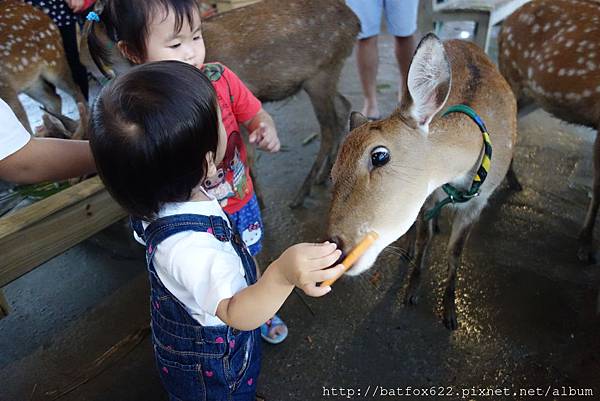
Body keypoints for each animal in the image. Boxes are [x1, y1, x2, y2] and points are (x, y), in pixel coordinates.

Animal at [81, 0, 358, 206]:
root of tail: (355, 23)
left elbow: (248, 155)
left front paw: (257, 202)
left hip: (320, 74)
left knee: (329, 127)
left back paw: (302, 193)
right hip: (329, 72)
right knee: (343, 108)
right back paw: (324, 175)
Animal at [326, 33, 516, 328]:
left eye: (379, 155)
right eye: (332, 173)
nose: (337, 247)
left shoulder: (479, 202)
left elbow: (455, 251)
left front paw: (450, 312)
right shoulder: (429, 194)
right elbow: (424, 238)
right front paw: (411, 291)